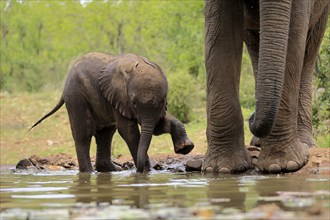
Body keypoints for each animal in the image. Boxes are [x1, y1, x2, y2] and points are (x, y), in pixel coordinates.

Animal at [30, 52, 193, 173]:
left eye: (162, 100)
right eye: (133, 102)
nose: (140, 170)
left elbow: (158, 126)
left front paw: (186, 147)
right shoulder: (119, 96)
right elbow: (128, 132)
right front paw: (147, 170)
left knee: (105, 133)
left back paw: (111, 170)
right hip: (76, 96)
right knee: (84, 134)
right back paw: (89, 172)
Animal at [205, 0, 328, 174]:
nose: (252, 117)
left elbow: (294, 30)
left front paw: (281, 165)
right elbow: (220, 31)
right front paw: (221, 168)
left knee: (310, 47)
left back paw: (305, 144)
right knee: (254, 43)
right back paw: (259, 143)